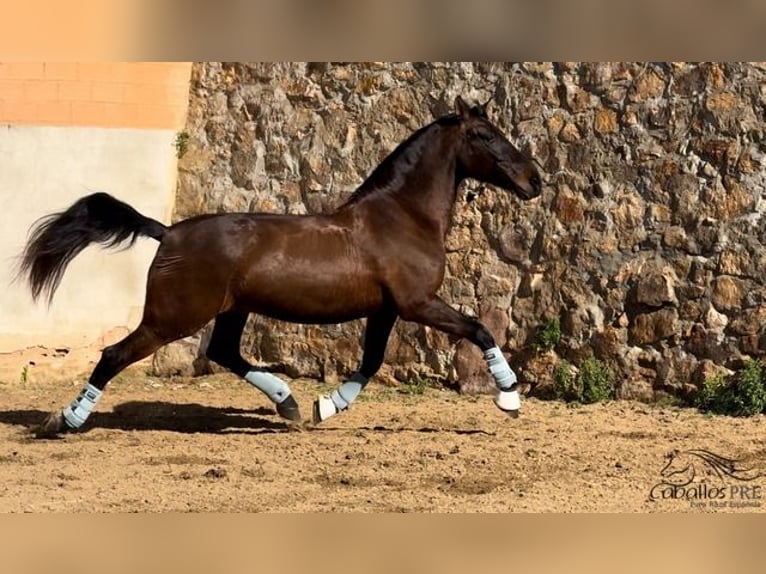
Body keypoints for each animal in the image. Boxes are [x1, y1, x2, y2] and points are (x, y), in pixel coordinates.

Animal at [19, 95, 544, 440]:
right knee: (114, 355)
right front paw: (509, 398)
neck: (402, 217)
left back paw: (287, 403)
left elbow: (371, 362)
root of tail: (166, 232)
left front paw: (325, 406)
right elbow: (479, 329)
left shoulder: (387, 310)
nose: (533, 180)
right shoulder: (418, 304)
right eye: (484, 136)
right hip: (173, 317)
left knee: (225, 352)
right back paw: (64, 421)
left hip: (231, 310)